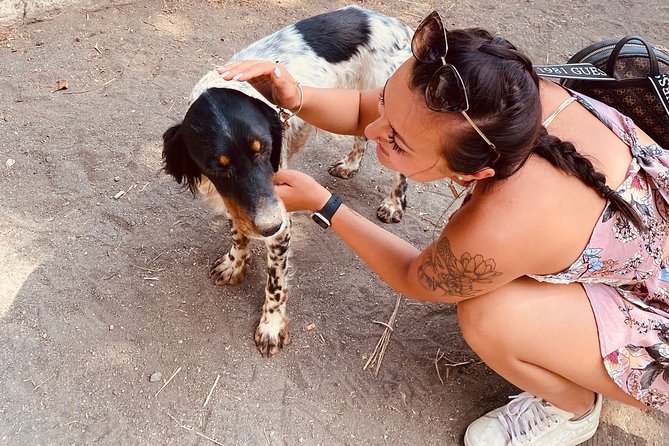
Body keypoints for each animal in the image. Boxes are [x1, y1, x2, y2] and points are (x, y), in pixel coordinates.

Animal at [162, 6, 412, 356]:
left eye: (264, 149)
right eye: (218, 167)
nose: (269, 226)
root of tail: (388, 20)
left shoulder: (281, 219)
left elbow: (275, 284)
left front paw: (271, 325)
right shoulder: (238, 203)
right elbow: (238, 234)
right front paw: (234, 264)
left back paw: (393, 203)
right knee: (360, 133)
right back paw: (350, 165)